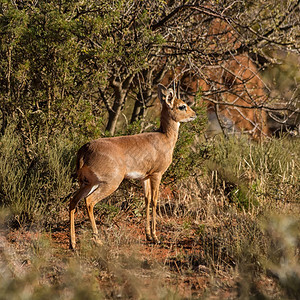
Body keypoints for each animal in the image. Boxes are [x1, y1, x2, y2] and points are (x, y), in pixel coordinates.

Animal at [70, 82, 197, 248]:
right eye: (182, 106)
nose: (194, 114)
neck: (165, 138)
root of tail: (84, 150)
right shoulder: (157, 174)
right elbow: (155, 200)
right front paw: (156, 237)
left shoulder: (145, 177)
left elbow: (147, 199)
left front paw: (148, 235)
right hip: (108, 184)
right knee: (89, 202)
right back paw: (98, 240)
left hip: (87, 183)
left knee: (73, 201)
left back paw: (73, 243)